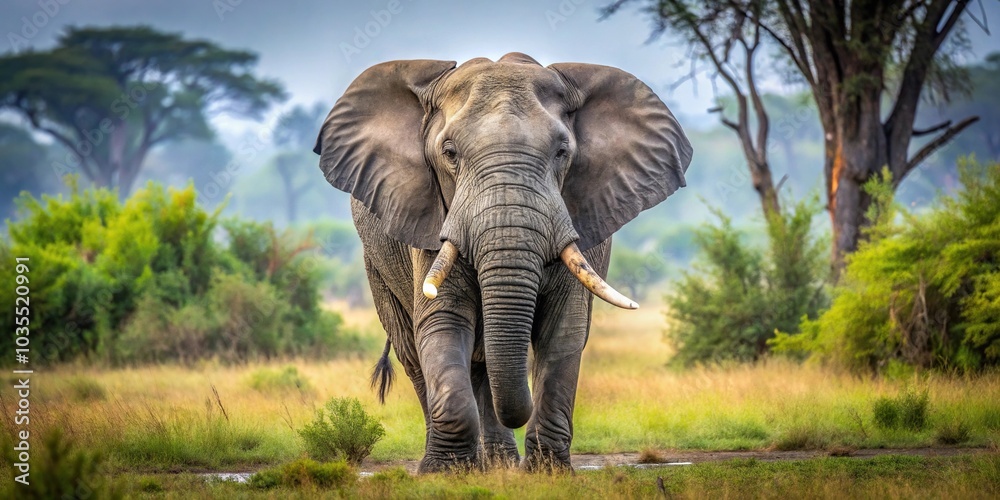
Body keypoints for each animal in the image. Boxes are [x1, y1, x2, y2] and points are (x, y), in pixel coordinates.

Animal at [314, 52, 692, 472]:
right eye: (450, 153)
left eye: (562, 152)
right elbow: (443, 321)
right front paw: (444, 473)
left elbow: (563, 330)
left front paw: (548, 472)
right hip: (376, 263)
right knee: (415, 355)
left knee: (483, 360)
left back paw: (500, 466)